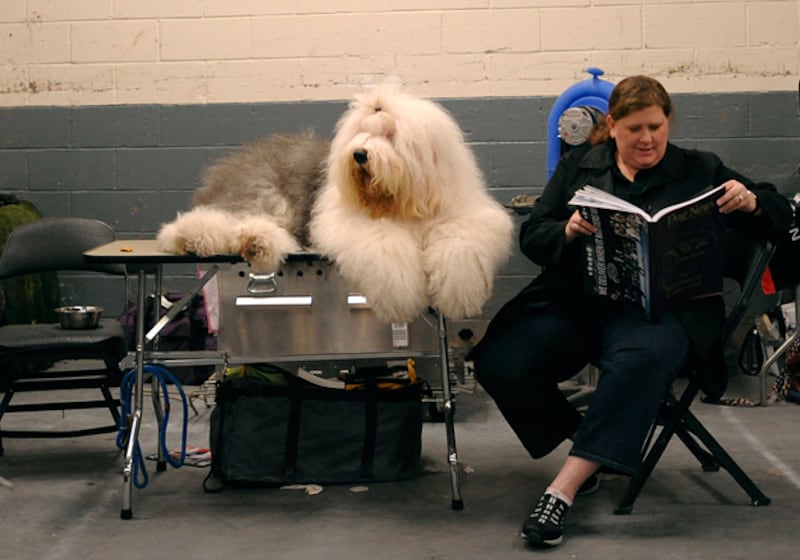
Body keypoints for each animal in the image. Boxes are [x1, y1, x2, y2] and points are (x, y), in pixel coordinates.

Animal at [158, 81, 512, 322]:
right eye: (360, 133)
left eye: (390, 136)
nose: (359, 154)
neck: (398, 202)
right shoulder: (350, 224)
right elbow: (385, 248)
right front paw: (399, 299)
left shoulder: (464, 215)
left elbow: (462, 243)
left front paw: (458, 296)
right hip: (266, 196)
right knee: (214, 221)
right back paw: (204, 239)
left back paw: (249, 243)